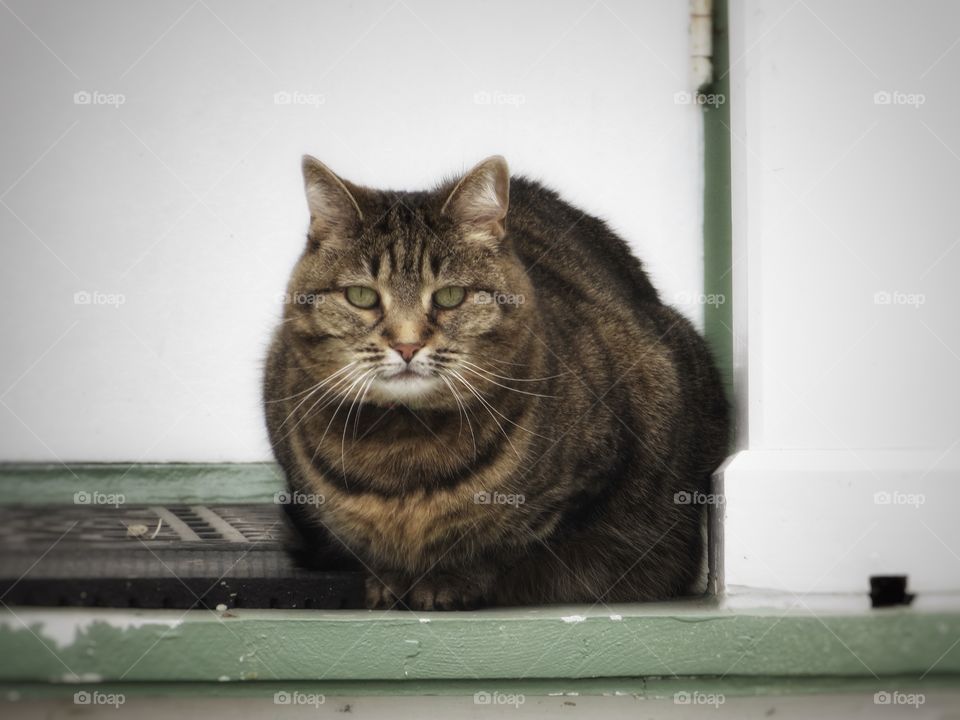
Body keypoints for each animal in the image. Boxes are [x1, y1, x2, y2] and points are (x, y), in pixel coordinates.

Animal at [262, 156, 728, 608]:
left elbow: (504, 547)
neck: (403, 450)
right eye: (362, 296)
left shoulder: (596, 473)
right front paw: (388, 579)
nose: (407, 345)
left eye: (450, 296)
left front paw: (447, 580)